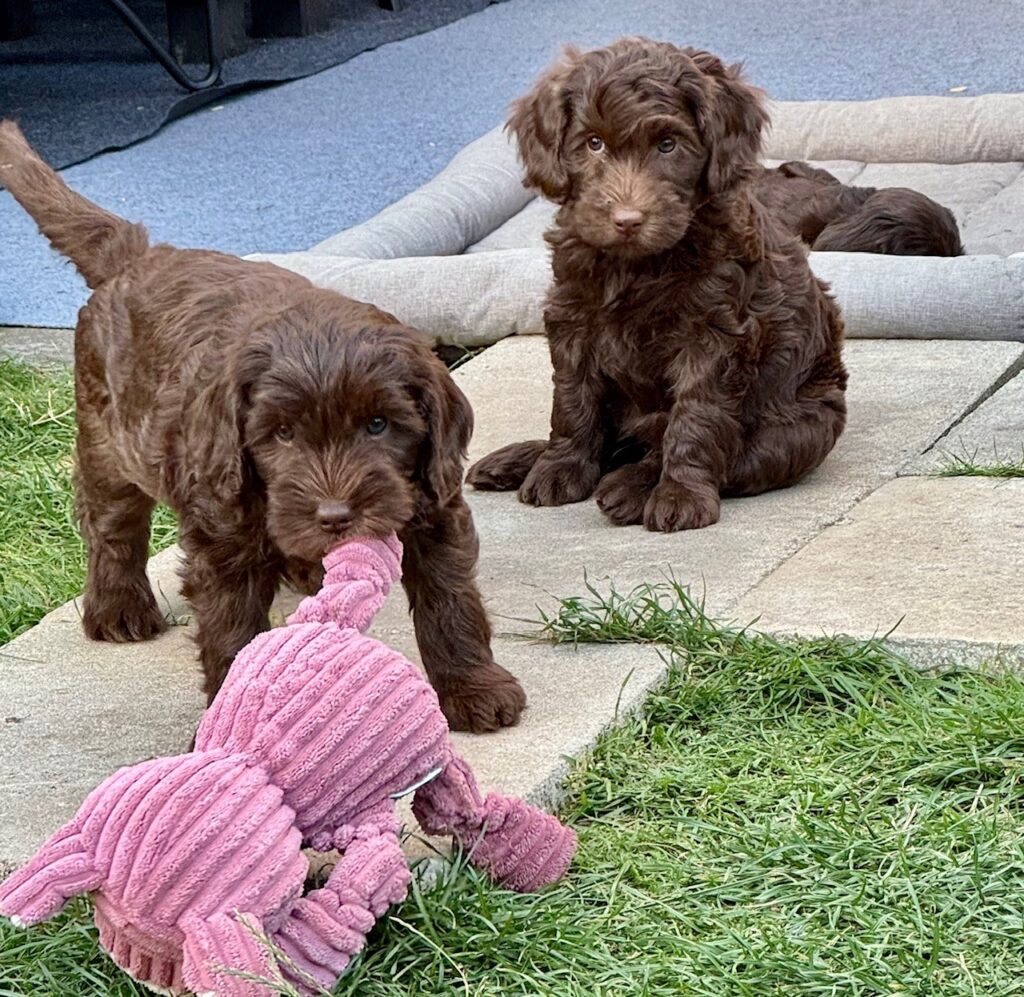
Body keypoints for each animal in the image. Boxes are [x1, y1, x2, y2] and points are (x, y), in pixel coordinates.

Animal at [468, 39, 843, 536]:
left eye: (668, 146)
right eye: (594, 143)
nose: (627, 221)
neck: (638, 265)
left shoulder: (714, 333)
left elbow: (694, 416)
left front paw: (680, 495)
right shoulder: (572, 317)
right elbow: (571, 401)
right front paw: (558, 468)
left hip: (804, 425)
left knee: (728, 455)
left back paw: (629, 488)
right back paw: (518, 460)